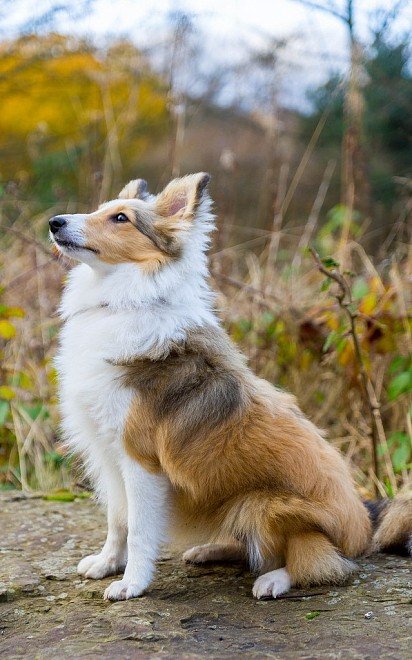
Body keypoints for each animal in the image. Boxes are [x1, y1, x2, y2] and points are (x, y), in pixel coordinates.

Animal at [50, 173, 412, 600]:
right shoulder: (108, 454)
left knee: (319, 562)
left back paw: (273, 579)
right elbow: (117, 520)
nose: (55, 222)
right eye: (100, 210)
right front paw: (107, 564)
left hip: (261, 503)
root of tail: (364, 528)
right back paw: (211, 550)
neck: (124, 301)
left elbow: (137, 528)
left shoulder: (141, 460)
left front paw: (132, 584)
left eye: (120, 218)